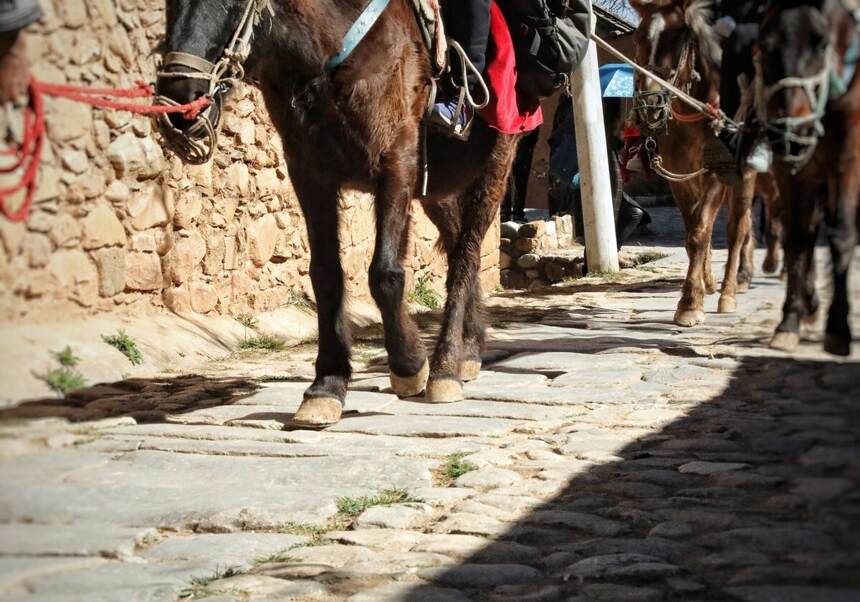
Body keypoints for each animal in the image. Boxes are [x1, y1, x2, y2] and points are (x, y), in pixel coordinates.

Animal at [154, 0, 516, 424]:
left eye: (233, 3)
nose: (179, 98)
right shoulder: (311, 174)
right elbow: (326, 276)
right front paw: (326, 385)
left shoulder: (397, 162)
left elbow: (385, 273)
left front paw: (409, 365)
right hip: (436, 189)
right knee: (460, 246)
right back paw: (470, 348)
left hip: (495, 166)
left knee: (466, 255)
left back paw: (445, 367)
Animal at [632, 0, 760, 326]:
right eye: (639, 37)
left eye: (678, 38)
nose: (649, 105)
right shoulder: (679, 177)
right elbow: (693, 232)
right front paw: (698, 289)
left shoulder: (715, 174)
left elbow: (700, 231)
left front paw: (690, 304)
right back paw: (712, 281)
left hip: (745, 177)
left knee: (737, 229)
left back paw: (728, 292)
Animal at [760, 0, 860, 354]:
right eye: (766, 46)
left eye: (820, 42)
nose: (790, 134)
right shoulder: (792, 174)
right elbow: (798, 238)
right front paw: (790, 320)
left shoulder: (848, 162)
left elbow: (842, 235)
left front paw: (839, 328)